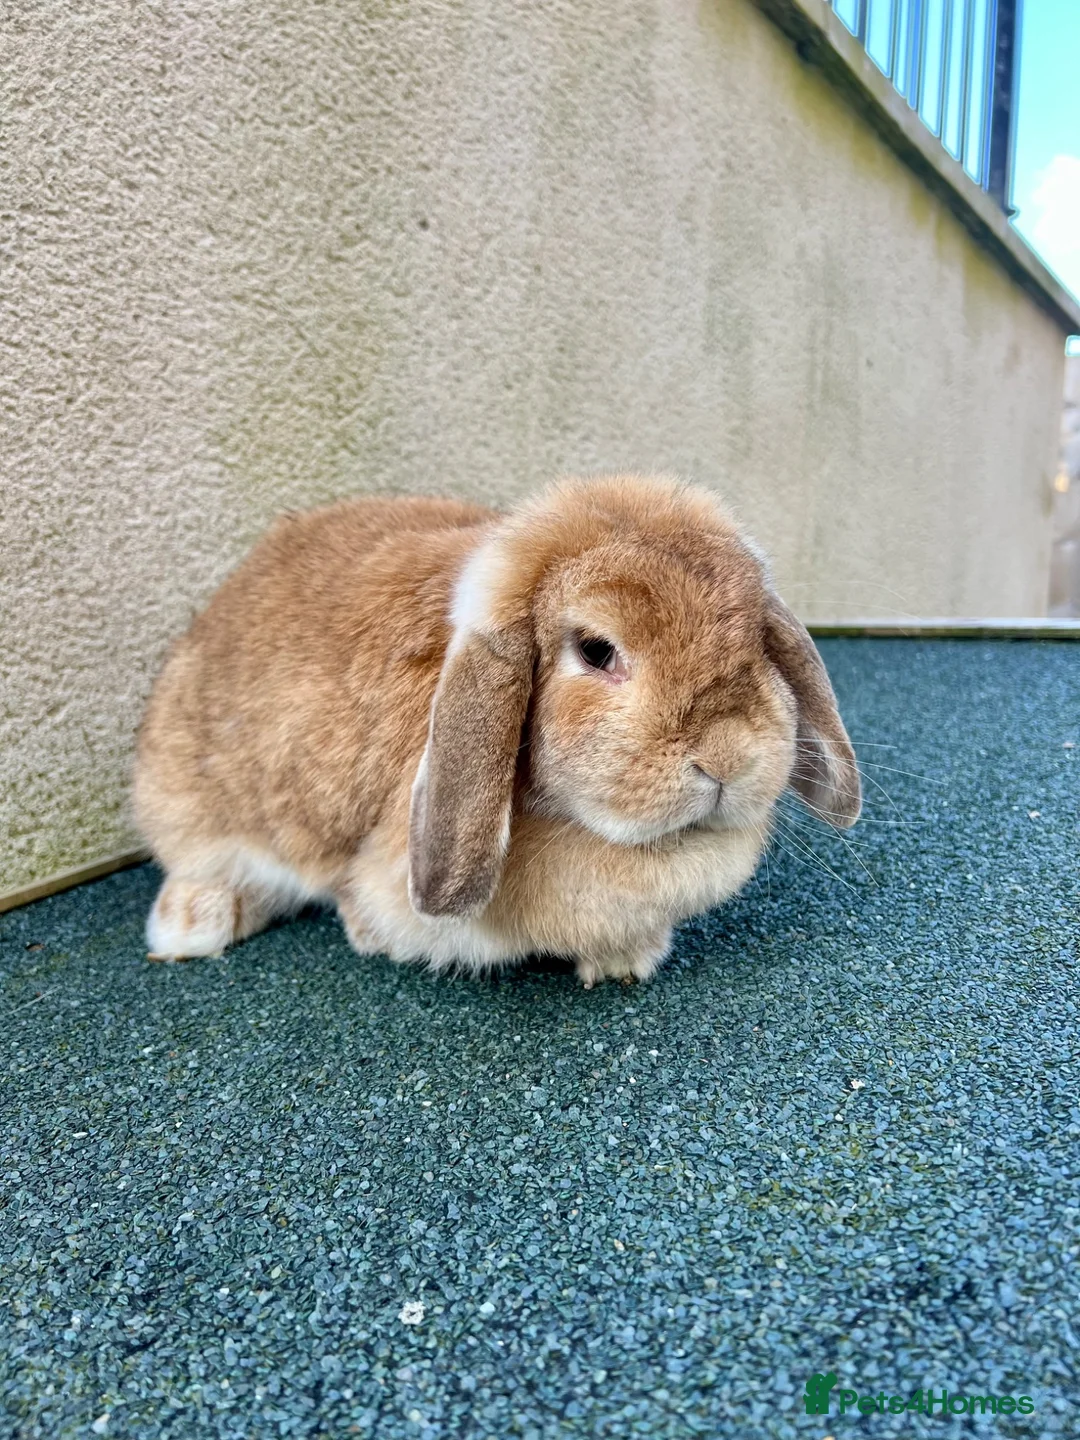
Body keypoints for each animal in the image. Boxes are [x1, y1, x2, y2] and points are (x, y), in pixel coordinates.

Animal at [133, 474, 860, 985]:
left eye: (756, 640)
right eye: (597, 650)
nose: (727, 758)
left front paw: (625, 962)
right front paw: (366, 931)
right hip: (184, 798)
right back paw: (190, 926)